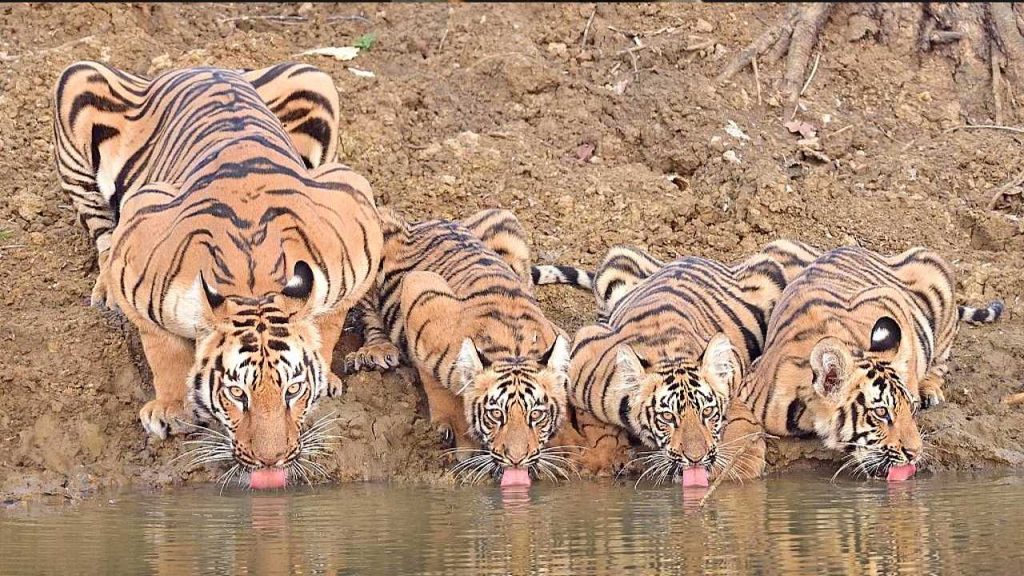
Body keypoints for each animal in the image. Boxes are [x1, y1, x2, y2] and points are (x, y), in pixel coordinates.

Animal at [52, 61, 380, 483]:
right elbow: (163, 349)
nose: (271, 461)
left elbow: (328, 324)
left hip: (314, 79)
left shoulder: (354, 217)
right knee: (101, 228)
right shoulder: (139, 231)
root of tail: (204, 67)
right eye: (237, 393)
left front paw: (325, 377)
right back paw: (105, 291)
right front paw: (171, 409)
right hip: (77, 80)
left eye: (292, 390)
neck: (254, 282)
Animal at [346, 206, 573, 483]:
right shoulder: (420, 293)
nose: (517, 459)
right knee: (370, 313)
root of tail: (426, 221)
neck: (514, 348)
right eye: (496, 414)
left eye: (537, 415)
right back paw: (376, 351)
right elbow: (438, 384)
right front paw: (458, 436)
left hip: (505, 221)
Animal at [532, 238, 819, 483]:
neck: (667, 353)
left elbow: (738, 414)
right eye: (667, 417)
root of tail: (688, 257)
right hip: (616, 262)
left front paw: (741, 463)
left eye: (707, 412)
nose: (696, 459)